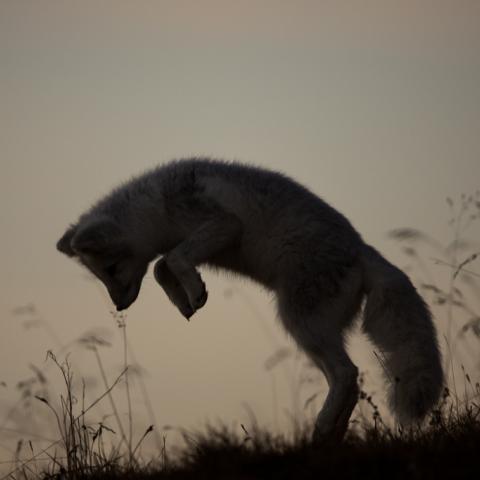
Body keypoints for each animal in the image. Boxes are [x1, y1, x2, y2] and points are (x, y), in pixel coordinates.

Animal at [58, 158, 444, 442]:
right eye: (101, 276)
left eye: (111, 269)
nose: (119, 306)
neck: (157, 204)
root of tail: (363, 251)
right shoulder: (185, 245)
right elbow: (161, 267)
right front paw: (185, 301)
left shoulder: (223, 225)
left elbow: (174, 259)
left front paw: (194, 290)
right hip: (312, 336)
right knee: (347, 381)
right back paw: (328, 438)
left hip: (300, 323)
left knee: (348, 374)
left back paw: (321, 428)